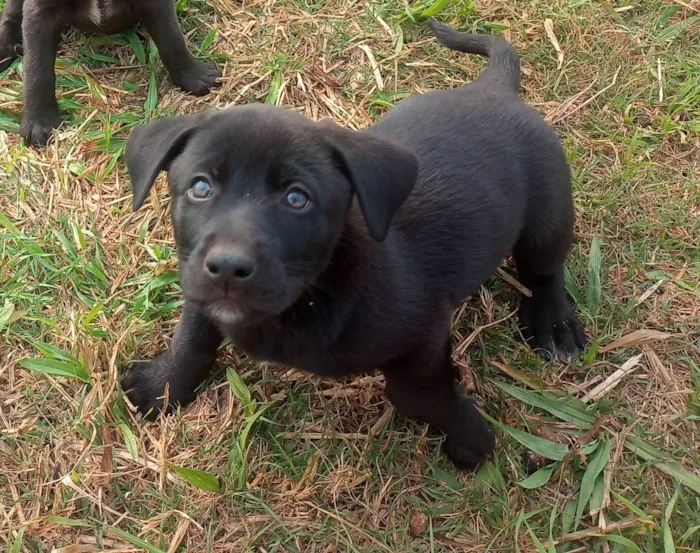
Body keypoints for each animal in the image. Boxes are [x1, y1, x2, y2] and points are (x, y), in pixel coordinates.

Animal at [0, 0, 220, 146]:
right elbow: (38, 69)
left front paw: (192, 74)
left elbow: (172, 40)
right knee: (11, 12)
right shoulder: (39, 12)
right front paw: (39, 119)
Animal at [120, 21, 584, 468]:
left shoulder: (424, 332)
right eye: (200, 187)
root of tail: (494, 88)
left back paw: (555, 325)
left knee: (545, 269)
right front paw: (161, 386)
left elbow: (419, 392)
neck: (315, 290)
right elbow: (192, 338)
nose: (228, 268)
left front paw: (470, 439)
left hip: (548, 214)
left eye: (297, 198)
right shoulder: (200, 288)